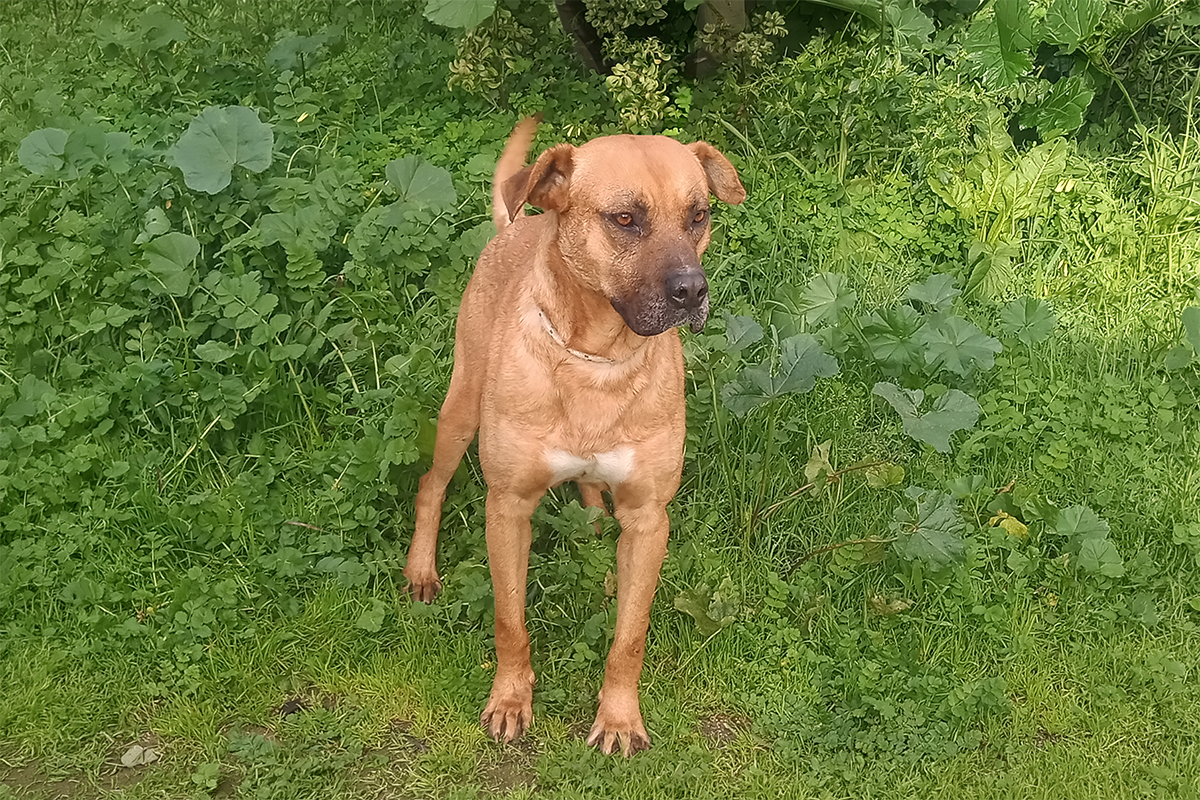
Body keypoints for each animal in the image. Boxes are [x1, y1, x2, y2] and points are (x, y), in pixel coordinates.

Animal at [403, 116, 745, 756]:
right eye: (625, 218)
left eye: (698, 215)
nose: (692, 291)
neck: (598, 362)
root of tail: (518, 221)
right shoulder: (508, 507)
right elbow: (510, 621)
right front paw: (511, 700)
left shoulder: (648, 517)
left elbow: (630, 638)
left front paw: (619, 718)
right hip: (460, 410)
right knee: (431, 485)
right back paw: (420, 570)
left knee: (592, 507)